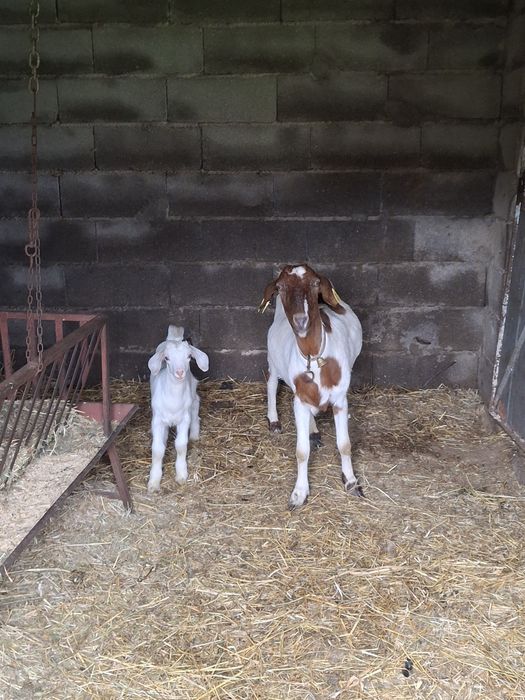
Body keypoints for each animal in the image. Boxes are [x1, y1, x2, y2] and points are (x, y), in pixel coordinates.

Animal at [147, 326, 209, 493]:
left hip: (192, 387)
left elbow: (181, 445)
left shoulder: (183, 420)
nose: (180, 372)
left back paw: (194, 434)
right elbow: (157, 449)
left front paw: (181, 474)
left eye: (189, 356)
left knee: (196, 403)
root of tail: (173, 338)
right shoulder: (157, 420)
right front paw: (154, 481)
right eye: (166, 358)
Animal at [259, 264, 363, 508]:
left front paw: (351, 482)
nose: (300, 320)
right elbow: (301, 451)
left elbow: (344, 444)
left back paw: (313, 430)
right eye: (280, 287)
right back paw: (274, 420)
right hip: (273, 360)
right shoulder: (299, 400)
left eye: (316, 283)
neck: (315, 357)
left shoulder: (340, 399)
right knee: (271, 382)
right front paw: (299, 493)